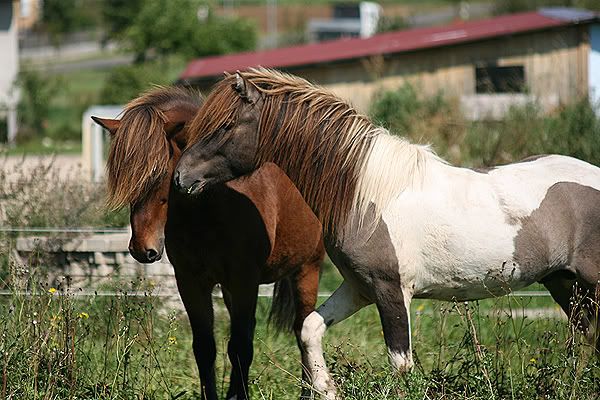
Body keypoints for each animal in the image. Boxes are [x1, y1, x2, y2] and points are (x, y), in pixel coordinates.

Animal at [91, 85, 325, 400]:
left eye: (159, 173)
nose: (142, 249)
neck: (210, 206)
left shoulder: (244, 280)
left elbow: (240, 348)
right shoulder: (191, 282)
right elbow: (206, 348)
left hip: (307, 270)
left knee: (301, 331)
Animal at [174, 68, 600, 399]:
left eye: (227, 126)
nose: (181, 177)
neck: (365, 196)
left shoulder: (392, 291)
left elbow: (400, 364)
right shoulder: (360, 289)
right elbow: (310, 329)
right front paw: (326, 389)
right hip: (564, 284)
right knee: (587, 337)